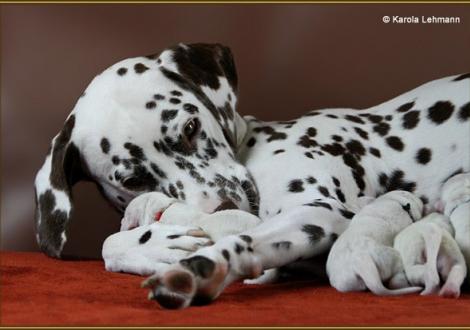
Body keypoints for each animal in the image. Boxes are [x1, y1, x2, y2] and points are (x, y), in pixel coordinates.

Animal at [34, 43, 470, 310]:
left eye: (190, 127)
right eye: (134, 180)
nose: (224, 208)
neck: (251, 144)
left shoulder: (320, 210)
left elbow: (241, 242)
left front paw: (197, 264)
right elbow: (109, 244)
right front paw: (153, 246)